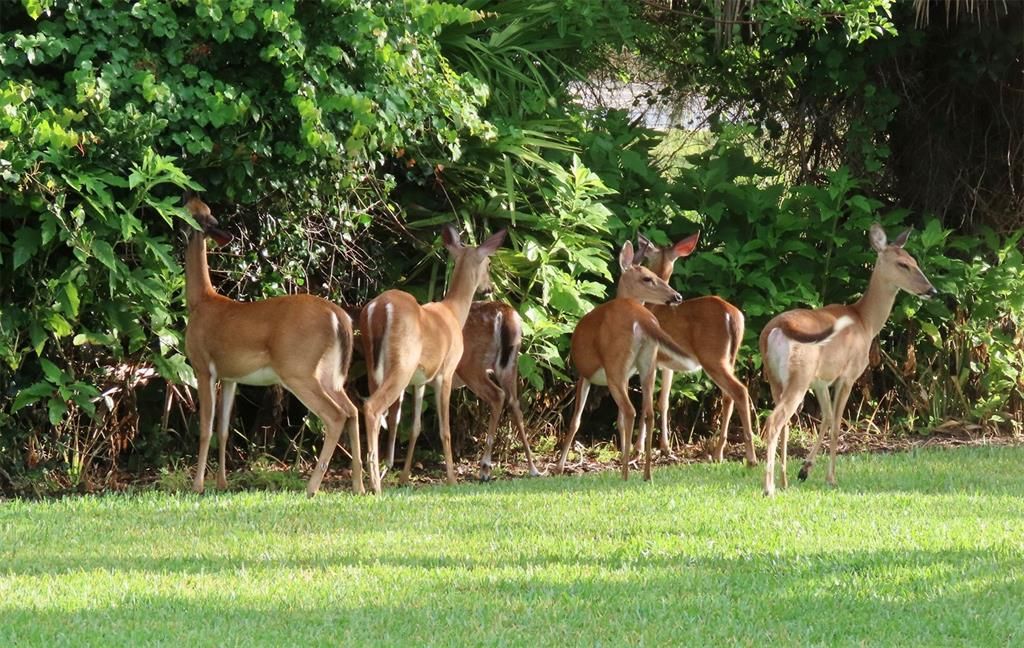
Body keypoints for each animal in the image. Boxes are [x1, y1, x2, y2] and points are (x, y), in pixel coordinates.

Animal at [182, 192, 362, 495]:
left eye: (186, 210)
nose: (185, 196)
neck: (201, 301)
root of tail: (340, 317)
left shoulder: (203, 366)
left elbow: (206, 428)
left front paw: (197, 486)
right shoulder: (230, 376)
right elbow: (224, 429)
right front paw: (222, 483)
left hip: (297, 369)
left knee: (336, 415)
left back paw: (312, 487)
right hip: (331, 373)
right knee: (353, 410)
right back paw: (362, 486)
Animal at [360, 225, 507, 493]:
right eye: (489, 263)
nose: (489, 287)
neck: (453, 312)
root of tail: (379, 309)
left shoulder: (420, 380)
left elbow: (416, 427)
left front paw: (404, 478)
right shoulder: (445, 372)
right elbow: (445, 429)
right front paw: (451, 479)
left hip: (371, 364)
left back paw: (366, 481)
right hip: (401, 363)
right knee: (372, 407)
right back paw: (375, 485)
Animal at [557, 240, 700, 483]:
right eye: (648, 278)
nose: (677, 296)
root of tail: (642, 319)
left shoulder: (585, 374)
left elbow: (576, 420)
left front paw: (559, 466)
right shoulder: (624, 375)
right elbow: (620, 421)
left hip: (615, 365)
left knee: (631, 410)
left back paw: (625, 474)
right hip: (646, 364)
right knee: (647, 411)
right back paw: (646, 473)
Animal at [634, 232, 757, 464]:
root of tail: (732, 316)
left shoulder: (650, 357)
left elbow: (647, 402)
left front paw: (638, 449)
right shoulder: (668, 364)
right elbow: (663, 401)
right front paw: (665, 448)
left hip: (712, 356)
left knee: (739, 390)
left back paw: (750, 457)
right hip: (729, 357)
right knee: (728, 396)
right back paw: (718, 453)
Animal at [761, 222, 937, 495]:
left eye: (914, 260)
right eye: (902, 264)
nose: (932, 290)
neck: (865, 321)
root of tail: (776, 327)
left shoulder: (821, 379)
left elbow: (825, 418)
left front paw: (804, 469)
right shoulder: (848, 374)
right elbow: (836, 422)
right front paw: (830, 478)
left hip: (775, 378)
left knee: (784, 424)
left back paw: (783, 481)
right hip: (799, 376)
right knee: (774, 421)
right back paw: (769, 488)